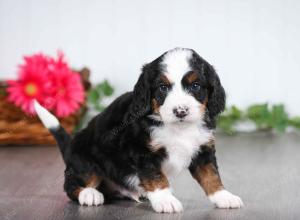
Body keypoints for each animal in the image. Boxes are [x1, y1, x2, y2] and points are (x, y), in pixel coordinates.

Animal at [34, 47, 243, 213]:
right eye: (162, 88)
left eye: (196, 86)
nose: (180, 111)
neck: (178, 127)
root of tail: (70, 147)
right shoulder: (141, 151)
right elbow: (156, 177)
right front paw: (165, 200)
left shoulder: (203, 150)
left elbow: (211, 175)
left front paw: (224, 196)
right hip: (85, 161)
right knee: (72, 185)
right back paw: (89, 194)